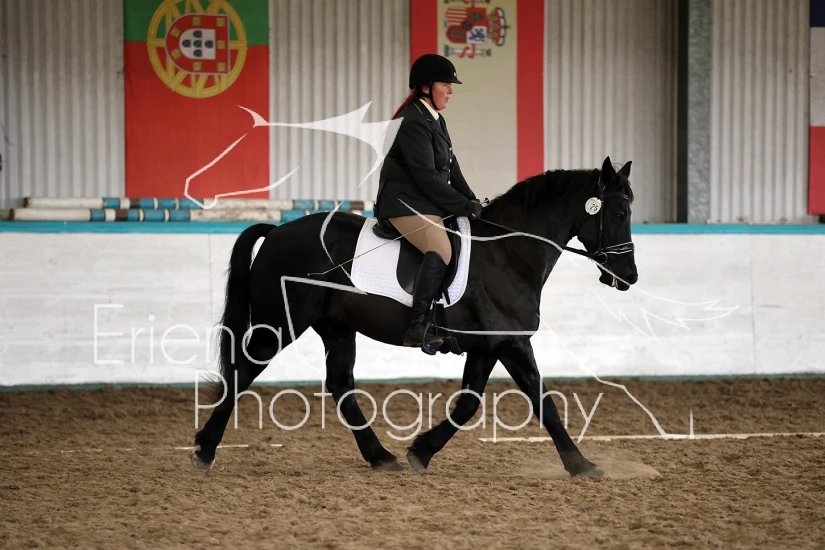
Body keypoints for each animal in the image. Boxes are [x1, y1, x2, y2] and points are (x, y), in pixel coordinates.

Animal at [193, 156, 638, 477]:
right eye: (617, 215)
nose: (629, 277)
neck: (507, 253)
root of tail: (277, 232)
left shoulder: (489, 345)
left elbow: (469, 402)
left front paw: (421, 452)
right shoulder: (512, 342)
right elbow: (541, 400)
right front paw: (582, 464)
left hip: (336, 328)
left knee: (340, 386)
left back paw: (380, 457)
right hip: (281, 323)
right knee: (242, 373)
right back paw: (205, 448)